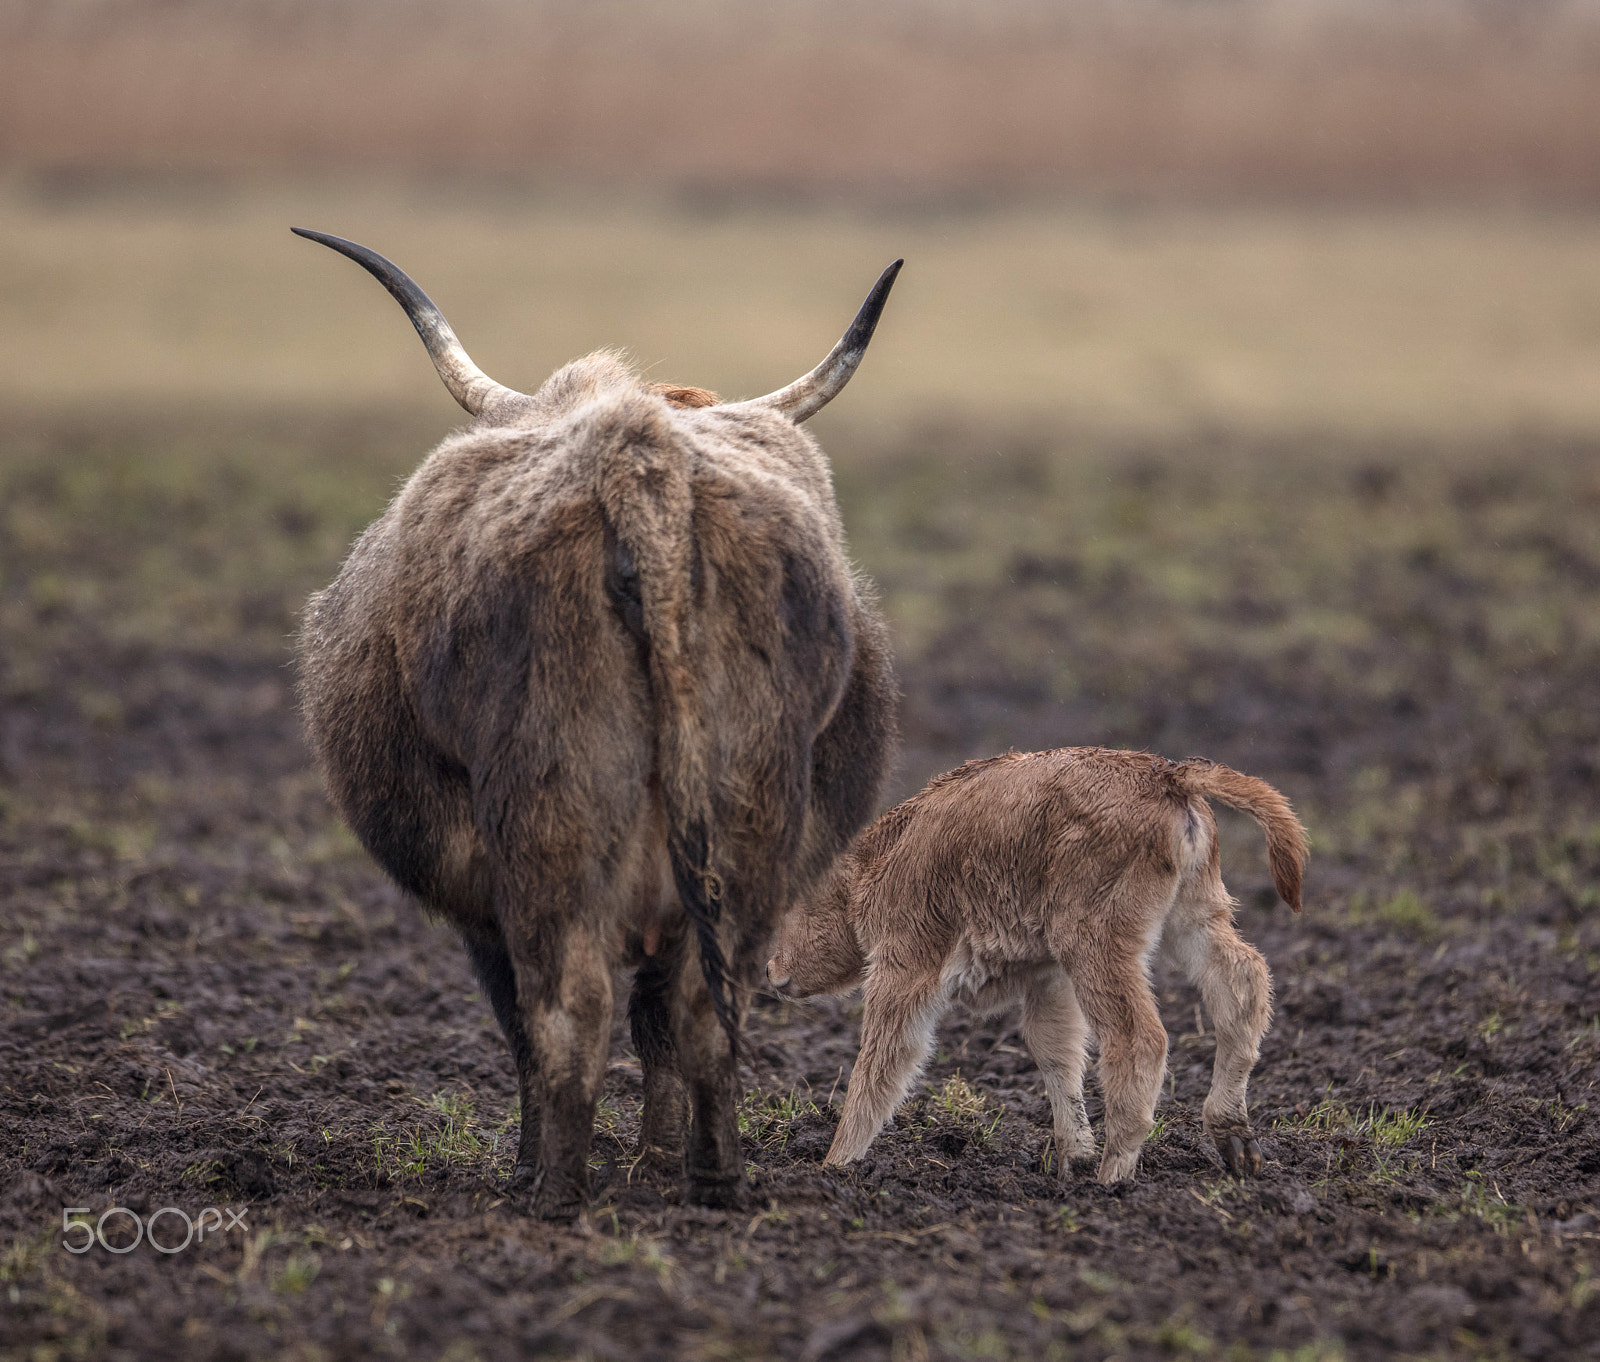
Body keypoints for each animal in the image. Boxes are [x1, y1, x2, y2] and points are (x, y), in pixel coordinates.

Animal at [296, 228, 908, 1222]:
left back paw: (553, 1191)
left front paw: (539, 1163)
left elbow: (527, 1023)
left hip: (551, 821)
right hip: (746, 827)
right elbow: (658, 1023)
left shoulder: (484, 902)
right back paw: (711, 1180)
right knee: (704, 1011)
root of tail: (640, 460)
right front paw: (653, 1161)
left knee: (567, 1009)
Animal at [768, 745, 1305, 1184]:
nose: (772, 972)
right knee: (1242, 981)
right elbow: (1055, 1052)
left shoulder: (904, 971)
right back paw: (1234, 1139)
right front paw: (1074, 1156)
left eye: (791, 903)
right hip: (1191, 920)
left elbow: (881, 1064)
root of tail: (1166, 775)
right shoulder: (1049, 977)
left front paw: (834, 1164)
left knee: (1140, 1037)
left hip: (1097, 946)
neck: (878, 861)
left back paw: (1114, 1175)